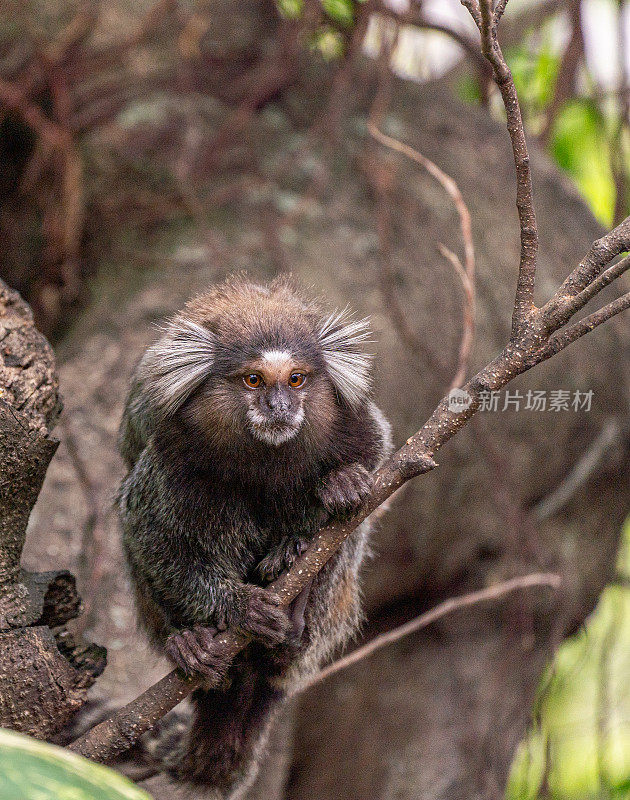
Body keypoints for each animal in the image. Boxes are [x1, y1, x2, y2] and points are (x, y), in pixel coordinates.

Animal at [118, 276, 392, 792]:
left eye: (297, 379)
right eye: (254, 380)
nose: (280, 406)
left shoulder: (355, 422)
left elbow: (374, 471)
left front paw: (341, 485)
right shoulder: (169, 452)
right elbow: (152, 539)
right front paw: (239, 605)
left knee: (344, 548)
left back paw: (293, 626)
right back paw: (194, 645)